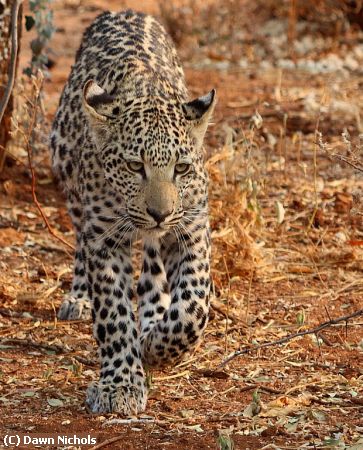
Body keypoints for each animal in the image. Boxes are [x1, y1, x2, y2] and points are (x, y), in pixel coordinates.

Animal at [50, 7, 216, 414]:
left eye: (181, 168)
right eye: (133, 166)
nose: (159, 213)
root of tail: (125, 10)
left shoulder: (191, 229)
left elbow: (194, 304)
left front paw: (157, 347)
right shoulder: (105, 238)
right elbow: (113, 313)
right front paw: (120, 384)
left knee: (154, 269)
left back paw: (154, 316)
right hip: (70, 186)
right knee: (80, 246)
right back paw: (79, 297)